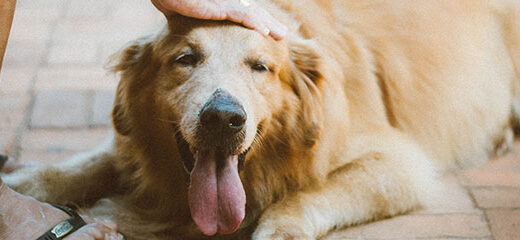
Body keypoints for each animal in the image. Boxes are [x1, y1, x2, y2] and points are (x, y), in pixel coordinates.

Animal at [4, 0, 520, 239]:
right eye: (185, 59)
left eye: (261, 67)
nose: (222, 118)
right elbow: (81, 165)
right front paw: (25, 184)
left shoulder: (399, 163)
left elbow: (305, 195)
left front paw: (278, 226)